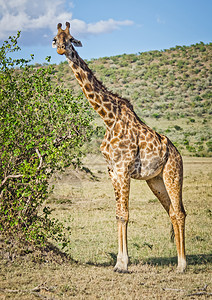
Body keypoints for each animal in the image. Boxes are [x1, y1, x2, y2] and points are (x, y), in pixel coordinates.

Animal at [53, 22, 187, 274]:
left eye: (72, 38)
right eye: (55, 38)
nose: (61, 49)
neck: (108, 118)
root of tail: (178, 154)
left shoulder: (124, 169)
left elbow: (124, 214)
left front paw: (123, 264)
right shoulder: (112, 171)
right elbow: (117, 214)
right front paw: (118, 262)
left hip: (173, 174)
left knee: (180, 212)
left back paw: (183, 265)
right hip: (155, 180)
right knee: (173, 213)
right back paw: (179, 262)